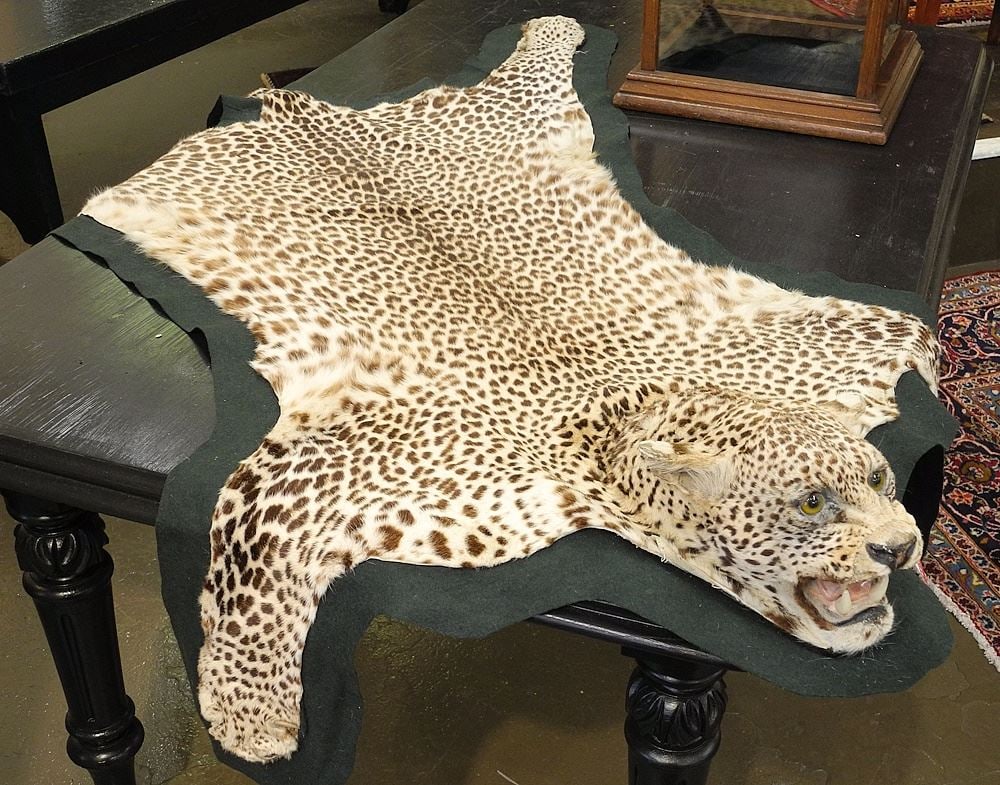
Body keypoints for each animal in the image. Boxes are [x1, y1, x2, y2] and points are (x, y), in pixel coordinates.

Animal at [82, 16, 940, 763]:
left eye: (877, 478)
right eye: (810, 504)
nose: (899, 547)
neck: (624, 421)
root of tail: (298, 103)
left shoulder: (827, 339)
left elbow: (913, 333)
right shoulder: (314, 477)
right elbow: (239, 557)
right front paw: (249, 721)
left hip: (521, 120)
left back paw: (556, 28)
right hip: (150, 185)